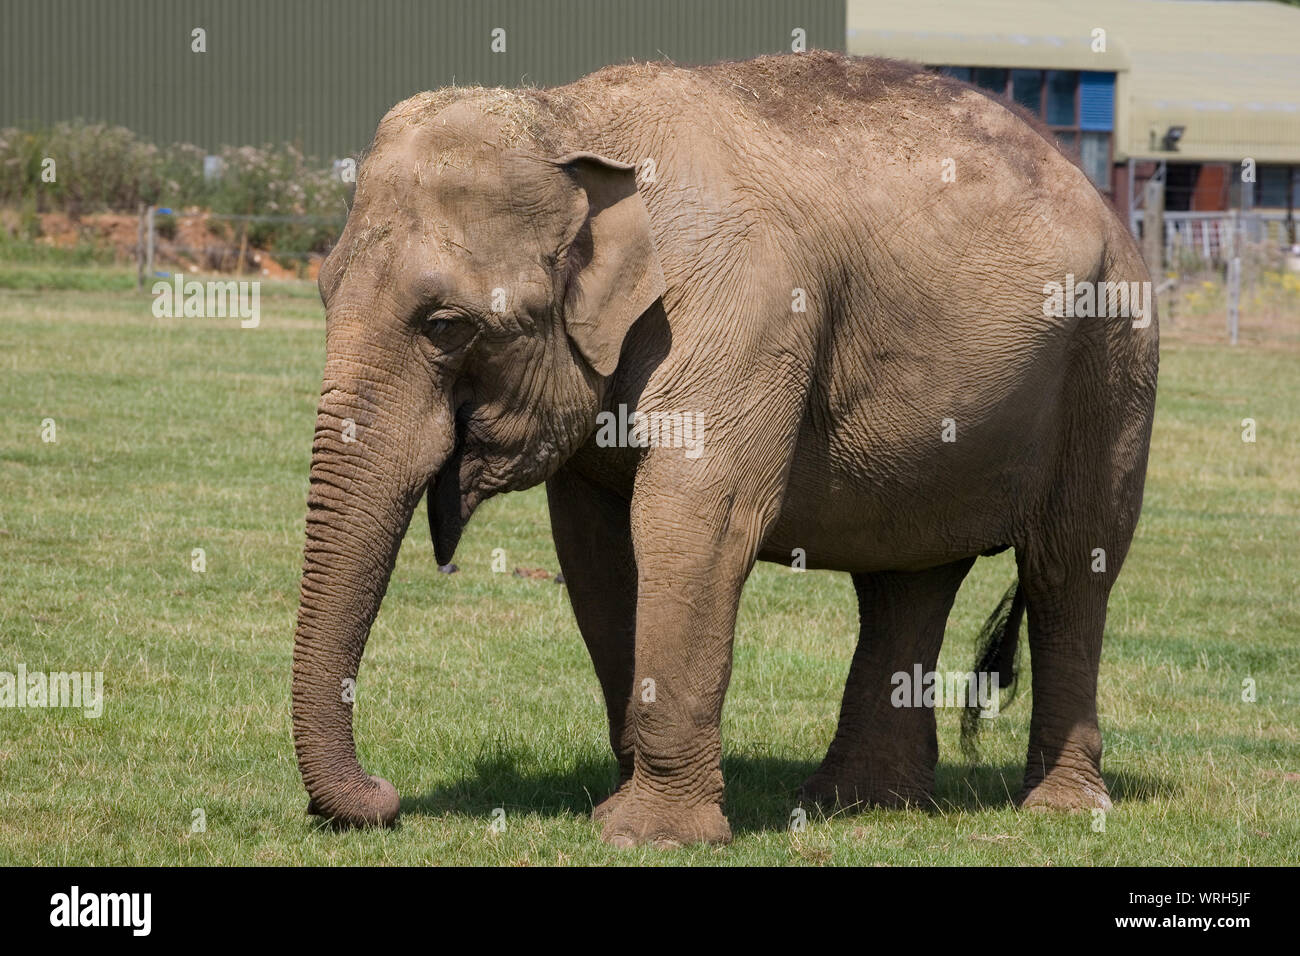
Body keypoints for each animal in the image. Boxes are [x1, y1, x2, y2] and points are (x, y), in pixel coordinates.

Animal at [292, 50, 1159, 853]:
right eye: (323, 295)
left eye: (443, 325)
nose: (383, 797)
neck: (572, 120)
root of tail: (1093, 188)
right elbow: (595, 546)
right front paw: (620, 809)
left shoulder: (744, 306)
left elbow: (695, 522)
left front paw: (648, 837)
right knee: (906, 580)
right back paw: (862, 803)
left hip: (1113, 363)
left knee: (1069, 568)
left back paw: (1060, 809)